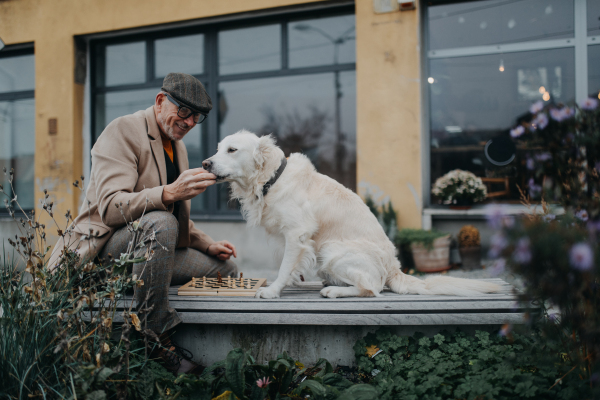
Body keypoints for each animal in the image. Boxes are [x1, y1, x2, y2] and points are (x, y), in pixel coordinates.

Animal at [204, 130, 500, 298]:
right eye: (218, 148)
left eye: (232, 150)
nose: (205, 163)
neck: (270, 179)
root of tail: (393, 269)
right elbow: (289, 267)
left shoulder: (297, 234)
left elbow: (286, 266)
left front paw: (273, 290)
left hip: (331, 250)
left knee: (371, 288)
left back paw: (333, 290)